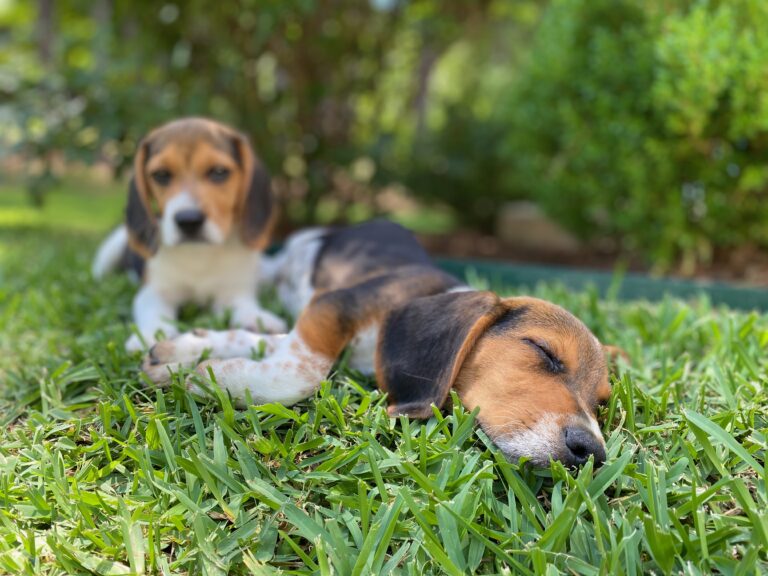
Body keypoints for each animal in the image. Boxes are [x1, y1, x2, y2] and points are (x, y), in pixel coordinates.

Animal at [94, 118, 286, 352]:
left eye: (219, 171)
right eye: (161, 175)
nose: (189, 220)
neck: (198, 254)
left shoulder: (232, 290)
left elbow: (243, 304)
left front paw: (256, 317)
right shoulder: (155, 291)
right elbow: (153, 311)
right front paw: (151, 333)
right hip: (110, 249)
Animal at [141, 220, 616, 468]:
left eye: (600, 403)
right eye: (544, 351)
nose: (590, 452)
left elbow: (270, 350)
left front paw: (188, 354)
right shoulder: (332, 306)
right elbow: (302, 372)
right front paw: (204, 373)